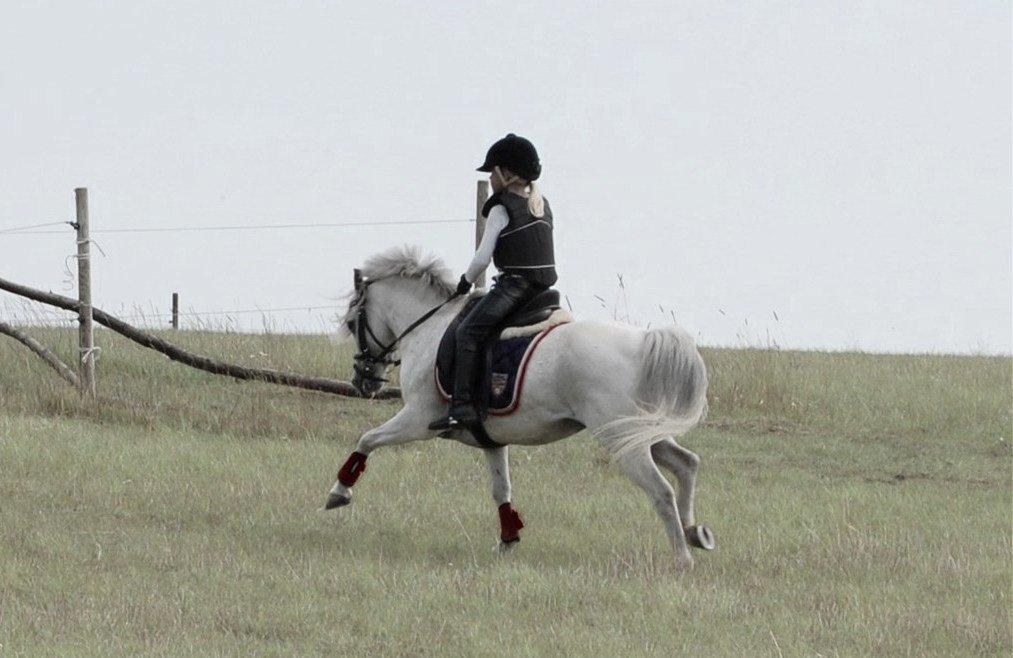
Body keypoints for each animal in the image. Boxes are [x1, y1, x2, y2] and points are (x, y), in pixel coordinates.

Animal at [328, 245, 709, 566]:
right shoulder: (491, 439)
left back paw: (683, 559)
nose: (363, 381)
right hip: (642, 430)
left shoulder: (418, 420)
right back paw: (695, 533)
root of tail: (644, 340)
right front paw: (508, 540)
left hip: (621, 438)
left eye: (352, 322)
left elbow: (367, 439)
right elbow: (501, 489)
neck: (430, 327)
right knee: (687, 463)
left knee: (662, 490)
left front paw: (339, 493)